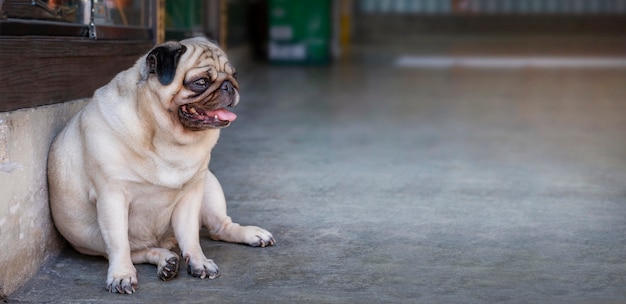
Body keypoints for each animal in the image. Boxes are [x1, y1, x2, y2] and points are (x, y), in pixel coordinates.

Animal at [47, 36, 274, 294]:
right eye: (201, 82)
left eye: (234, 75)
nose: (229, 85)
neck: (165, 136)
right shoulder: (112, 197)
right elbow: (119, 244)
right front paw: (121, 274)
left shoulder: (191, 194)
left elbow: (191, 236)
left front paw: (199, 261)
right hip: (96, 243)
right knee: (135, 250)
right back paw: (165, 260)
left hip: (209, 184)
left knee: (219, 228)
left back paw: (249, 234)